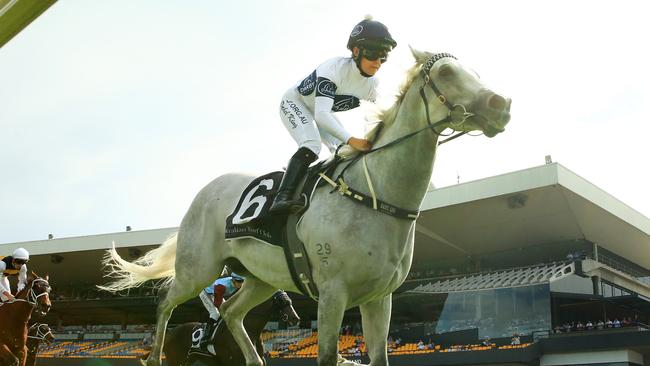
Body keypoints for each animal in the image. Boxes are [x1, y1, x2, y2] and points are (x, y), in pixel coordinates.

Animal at [101, 47, 508, 364]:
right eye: (446, 72)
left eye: (474, 72)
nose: (501, 105)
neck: (374, 198)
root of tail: (205, 191)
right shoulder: (332, 294)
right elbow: (327, 355)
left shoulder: (379, 298)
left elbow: (378, 357)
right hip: (198, 269)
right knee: (165, 301)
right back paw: (153, 356)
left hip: (260, 279)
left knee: (231, 312)